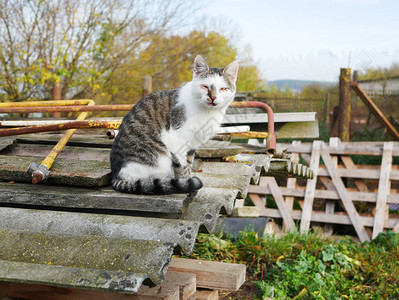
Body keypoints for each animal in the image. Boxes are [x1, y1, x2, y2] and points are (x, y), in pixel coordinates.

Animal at [109, 55, 239, 195]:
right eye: (205, 86)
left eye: (223, 89)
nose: (213, 97)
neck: (206, 112)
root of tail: (115, 176)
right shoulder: (177, 140)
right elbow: (181, 166)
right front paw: (185, 183)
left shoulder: (193, 143)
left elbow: (188, 163)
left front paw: (188, 179)